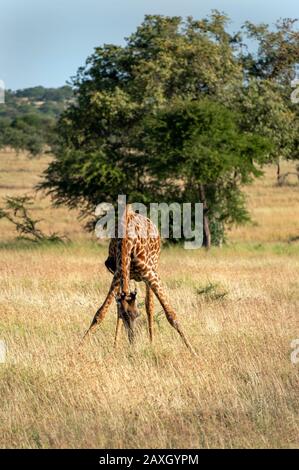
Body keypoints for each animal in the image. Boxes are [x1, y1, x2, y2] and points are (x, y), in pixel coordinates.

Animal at [83, 204, 196, 350]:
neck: (127, 243)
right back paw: (116, 345)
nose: (132, 340)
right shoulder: (117, 274)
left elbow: (171, 314)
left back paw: (151, 342)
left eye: (137, 314)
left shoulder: (150, 274)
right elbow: (100, 313)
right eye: (124, 316)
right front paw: (79, 347)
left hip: (153, 268)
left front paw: (192, 350)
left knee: (149, 305)